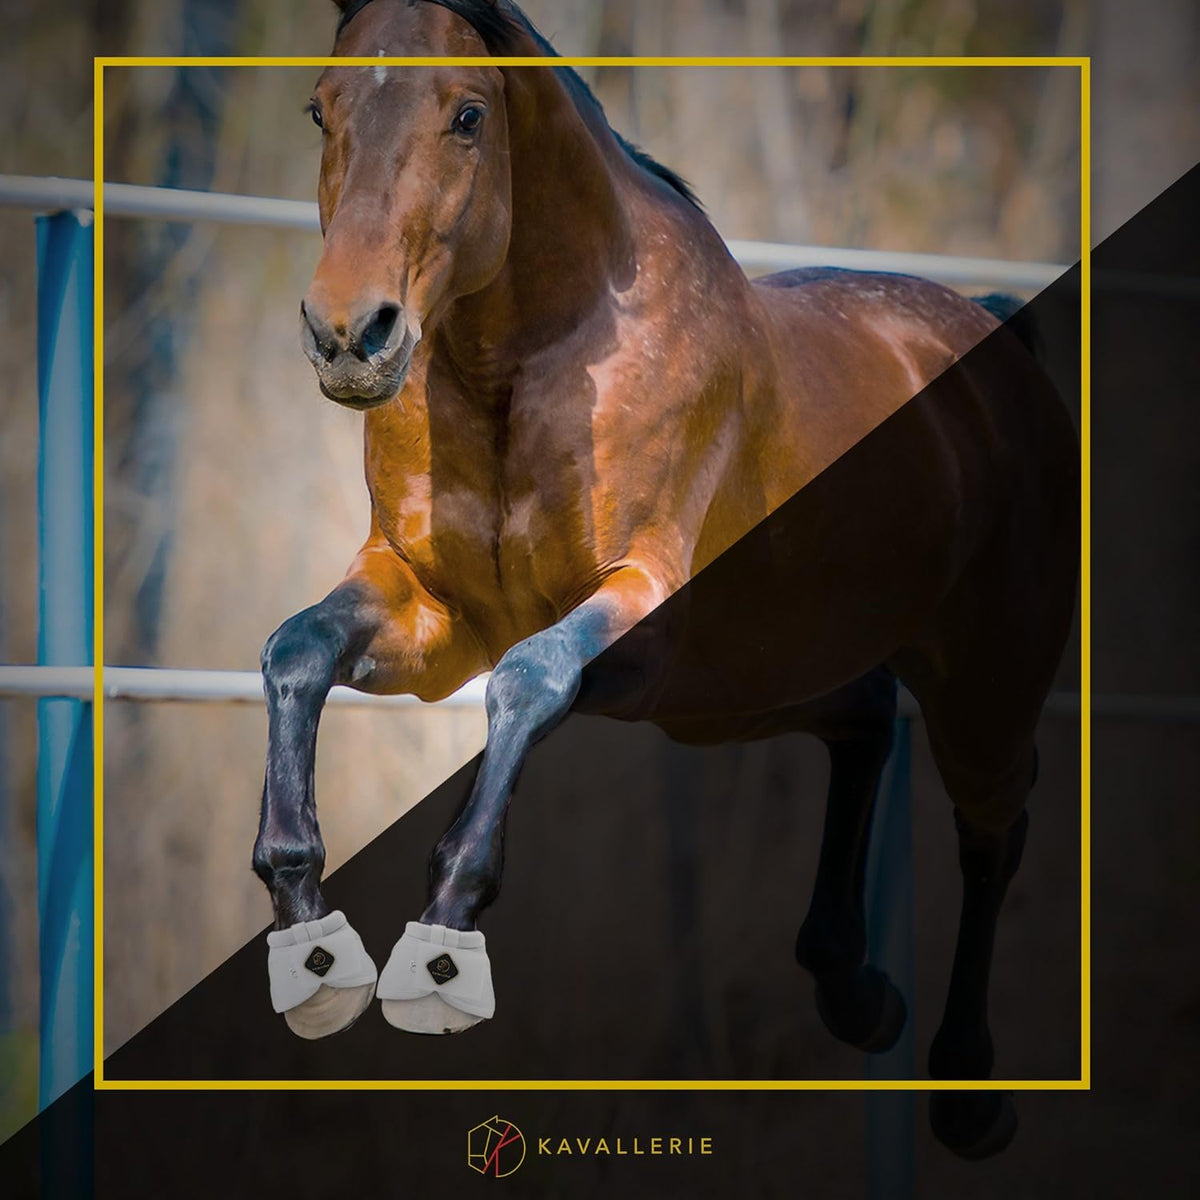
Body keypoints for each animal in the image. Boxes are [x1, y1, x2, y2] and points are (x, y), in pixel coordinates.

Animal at [252, 0, 1078, 1159]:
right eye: (319, 109)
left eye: (467, 115)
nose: (348, 335)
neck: (532, 359)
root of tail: (999, 338)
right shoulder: (430, 613)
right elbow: (299, 649)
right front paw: (310, 947)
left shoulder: (637, 611)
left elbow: (529, 681)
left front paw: (443, 947)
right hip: (742, 687)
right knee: (866, 720)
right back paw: (855, 992)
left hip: (980, 682)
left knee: (996, 828)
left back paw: (969, 1095)